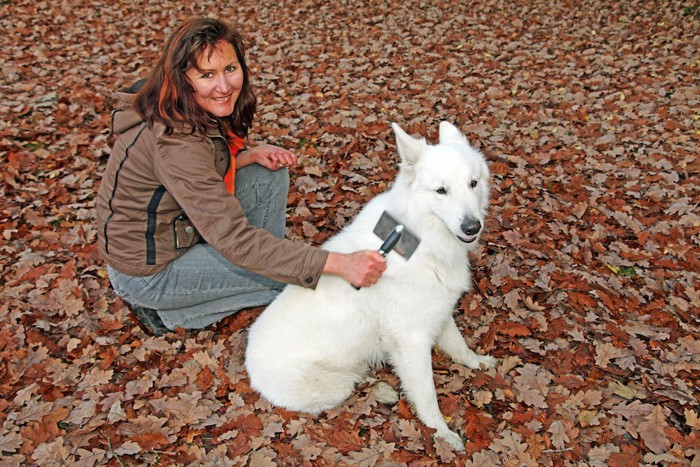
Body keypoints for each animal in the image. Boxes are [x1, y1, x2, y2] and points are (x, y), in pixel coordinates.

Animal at [246, 122, 498, 452]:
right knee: (353, 384)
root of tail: (248, 364)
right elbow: (427, 396)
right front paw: (442, 434)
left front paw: (478, 363)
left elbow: (460, 347)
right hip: (335, 386)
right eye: (441, 191)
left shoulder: (438, 312)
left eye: (473, 184)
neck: (422, 239)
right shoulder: (412, 339)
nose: (472, 227)